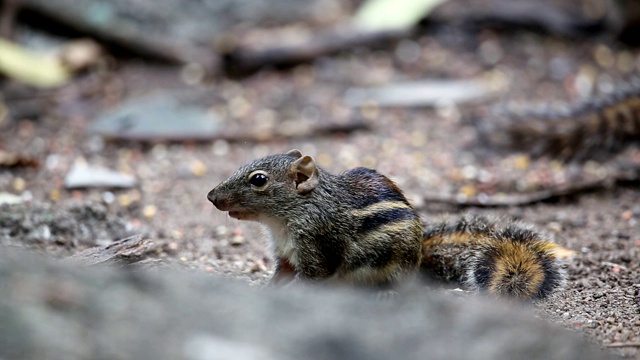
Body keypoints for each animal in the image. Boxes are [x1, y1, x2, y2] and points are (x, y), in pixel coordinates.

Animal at [209, 148, 564, 300]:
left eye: (258, 180)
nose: (211, 196)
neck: (283, 221)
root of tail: (421, 252)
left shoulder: (318, 246)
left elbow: (314, 277)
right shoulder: (285, 255)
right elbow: (280, 276)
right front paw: (262, 290)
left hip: (395, 264)